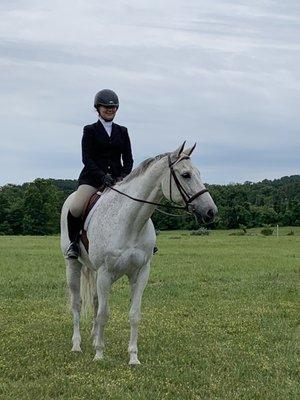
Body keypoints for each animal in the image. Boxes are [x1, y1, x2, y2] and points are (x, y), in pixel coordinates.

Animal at [60, 142, 216, 364]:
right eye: (185, 175)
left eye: (198, 173)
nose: (211, 212)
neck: (130, 222)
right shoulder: (106, 272)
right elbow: (104, 314)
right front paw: (99, 354)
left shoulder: (140, 273)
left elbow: (134, 315)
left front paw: (133, 356)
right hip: (73, 265)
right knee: (77, 303)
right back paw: (77, 345)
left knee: (96, 301)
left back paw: (94, 337)